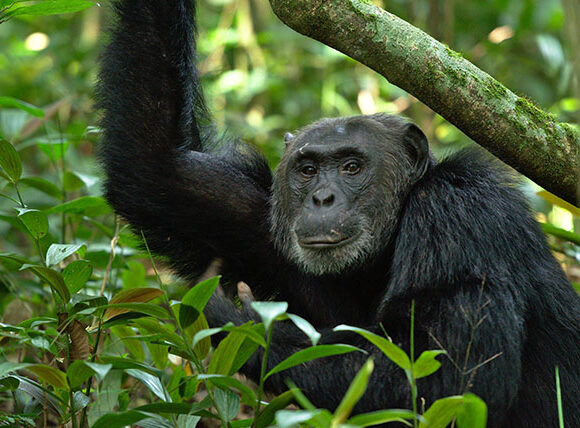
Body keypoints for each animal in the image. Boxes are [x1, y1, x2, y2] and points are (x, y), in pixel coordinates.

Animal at [96, 0, 580, 424]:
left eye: (351, 166)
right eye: (308, 170)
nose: (323, 198)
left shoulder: (460, 218)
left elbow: (448, 377)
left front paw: (239, 321)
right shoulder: (255, 222)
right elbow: (157, 169)